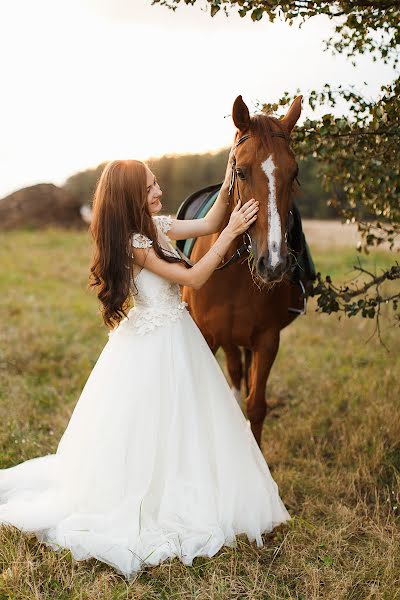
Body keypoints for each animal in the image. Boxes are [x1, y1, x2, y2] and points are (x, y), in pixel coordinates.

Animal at [183, 96, 304, 448]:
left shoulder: (267, 339)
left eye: (294, 172)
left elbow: (256, 405)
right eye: (240, 171)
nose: (273, 263)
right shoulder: (206, 336)